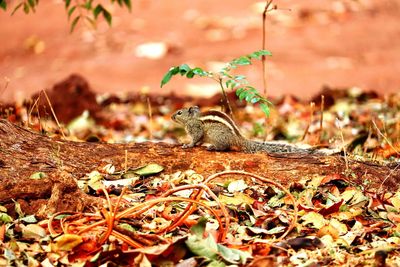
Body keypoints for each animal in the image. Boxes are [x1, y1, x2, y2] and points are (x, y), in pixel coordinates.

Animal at [170, 105, 320, 154]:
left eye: (179, 112)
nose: (171, 116)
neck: (192, 118)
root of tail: (238, 138)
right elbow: (199, 140)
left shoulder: (195, 129)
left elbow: (195, 139)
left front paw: (187, 145)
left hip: (215, 135)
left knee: (224, 147)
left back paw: (213, 147)